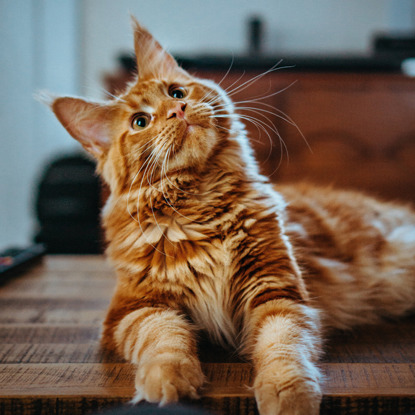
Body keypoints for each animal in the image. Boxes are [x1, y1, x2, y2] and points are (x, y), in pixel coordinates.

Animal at [49, 17, 415, 415]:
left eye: (176, 93)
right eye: (140, 122)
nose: (178, 111)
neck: (201, 206)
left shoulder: (277, 292)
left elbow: (282, 348)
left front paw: (288, 394)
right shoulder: (135, 309)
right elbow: (164, 339)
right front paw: (167, 385)